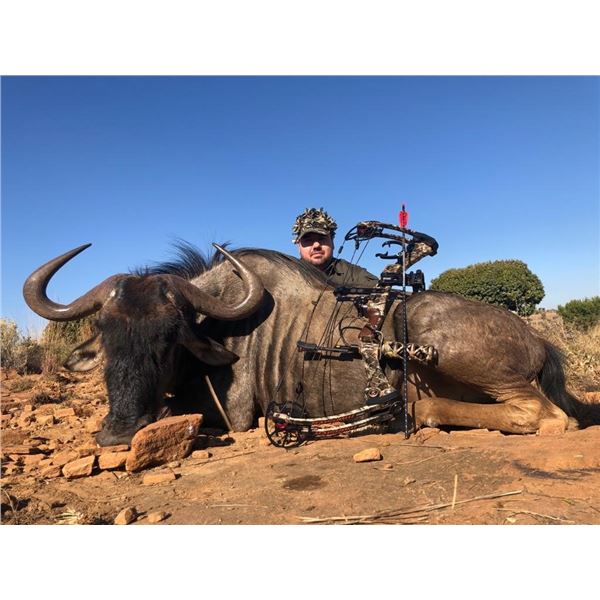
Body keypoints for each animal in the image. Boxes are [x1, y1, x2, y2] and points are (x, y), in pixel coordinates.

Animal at [23, 243, 583, 446]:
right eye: (107, 337)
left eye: (169, 339)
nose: (118, 433)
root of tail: (537, 339)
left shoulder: (231, 414)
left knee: (548, 416)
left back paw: (418, 411)